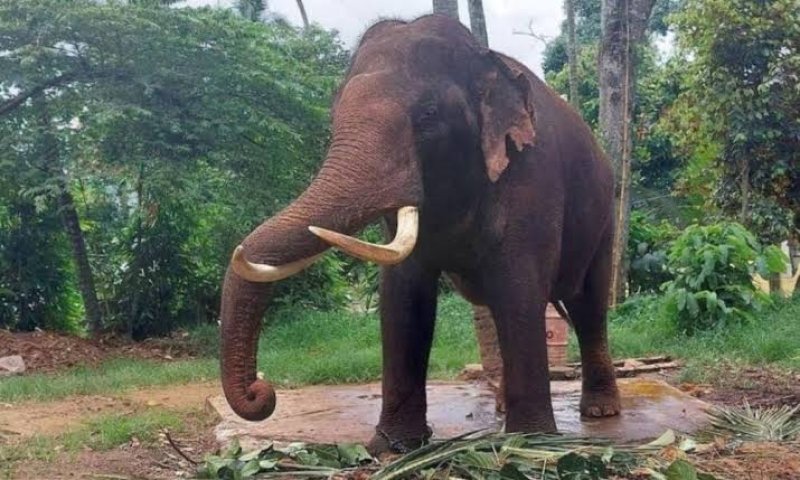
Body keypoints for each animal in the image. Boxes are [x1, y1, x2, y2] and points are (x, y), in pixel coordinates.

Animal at [219, 14, 620, 455]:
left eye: (428, 115)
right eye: (334, 116)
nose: (261, 392)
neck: (483, 60)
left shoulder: (532, 174)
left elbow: (518, 287)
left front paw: (530, 444)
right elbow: (404, 295)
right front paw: (393, 447)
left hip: (606, 215)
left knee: (587, 304)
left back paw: (600, 412)